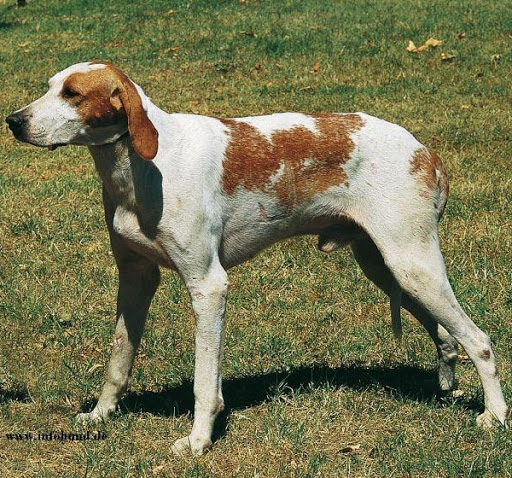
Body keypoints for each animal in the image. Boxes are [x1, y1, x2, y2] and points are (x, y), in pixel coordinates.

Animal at [6, 61, 510, 454]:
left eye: (72, 94)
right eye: (49, 86)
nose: (13, 120)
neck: (143, 163)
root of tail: (426, 151)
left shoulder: (208, 286)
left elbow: (204, 382)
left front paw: (198, 441)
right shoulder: (135, 279)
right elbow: (118, 360)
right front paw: (101, 414)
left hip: (411, 265)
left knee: (479, 340)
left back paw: (495, 415)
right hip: (388, 269)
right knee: (445, 335)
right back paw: (447, 387)